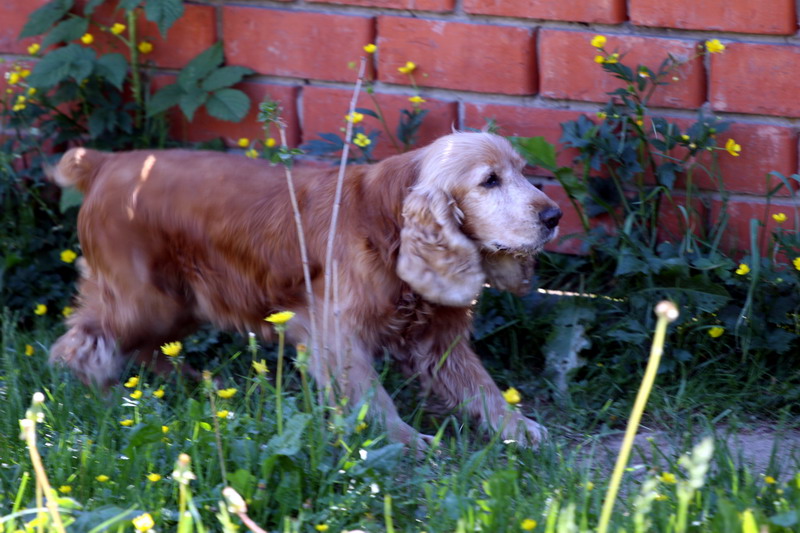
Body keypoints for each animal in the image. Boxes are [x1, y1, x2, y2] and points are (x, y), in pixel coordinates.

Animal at [50, 131, 564, 446]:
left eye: (522, 170)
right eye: (490, 181)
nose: (554, 215)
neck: (390, 224)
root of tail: (105, 163)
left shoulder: (438, 338)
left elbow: (482, 387)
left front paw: (519, 428)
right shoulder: (334, 333)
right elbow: (370, 394)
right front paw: (403, 441)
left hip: (180, 303)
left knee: (140, 346)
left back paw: (191, 382)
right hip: (146, 299)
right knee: (78, 344)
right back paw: (104, 398)